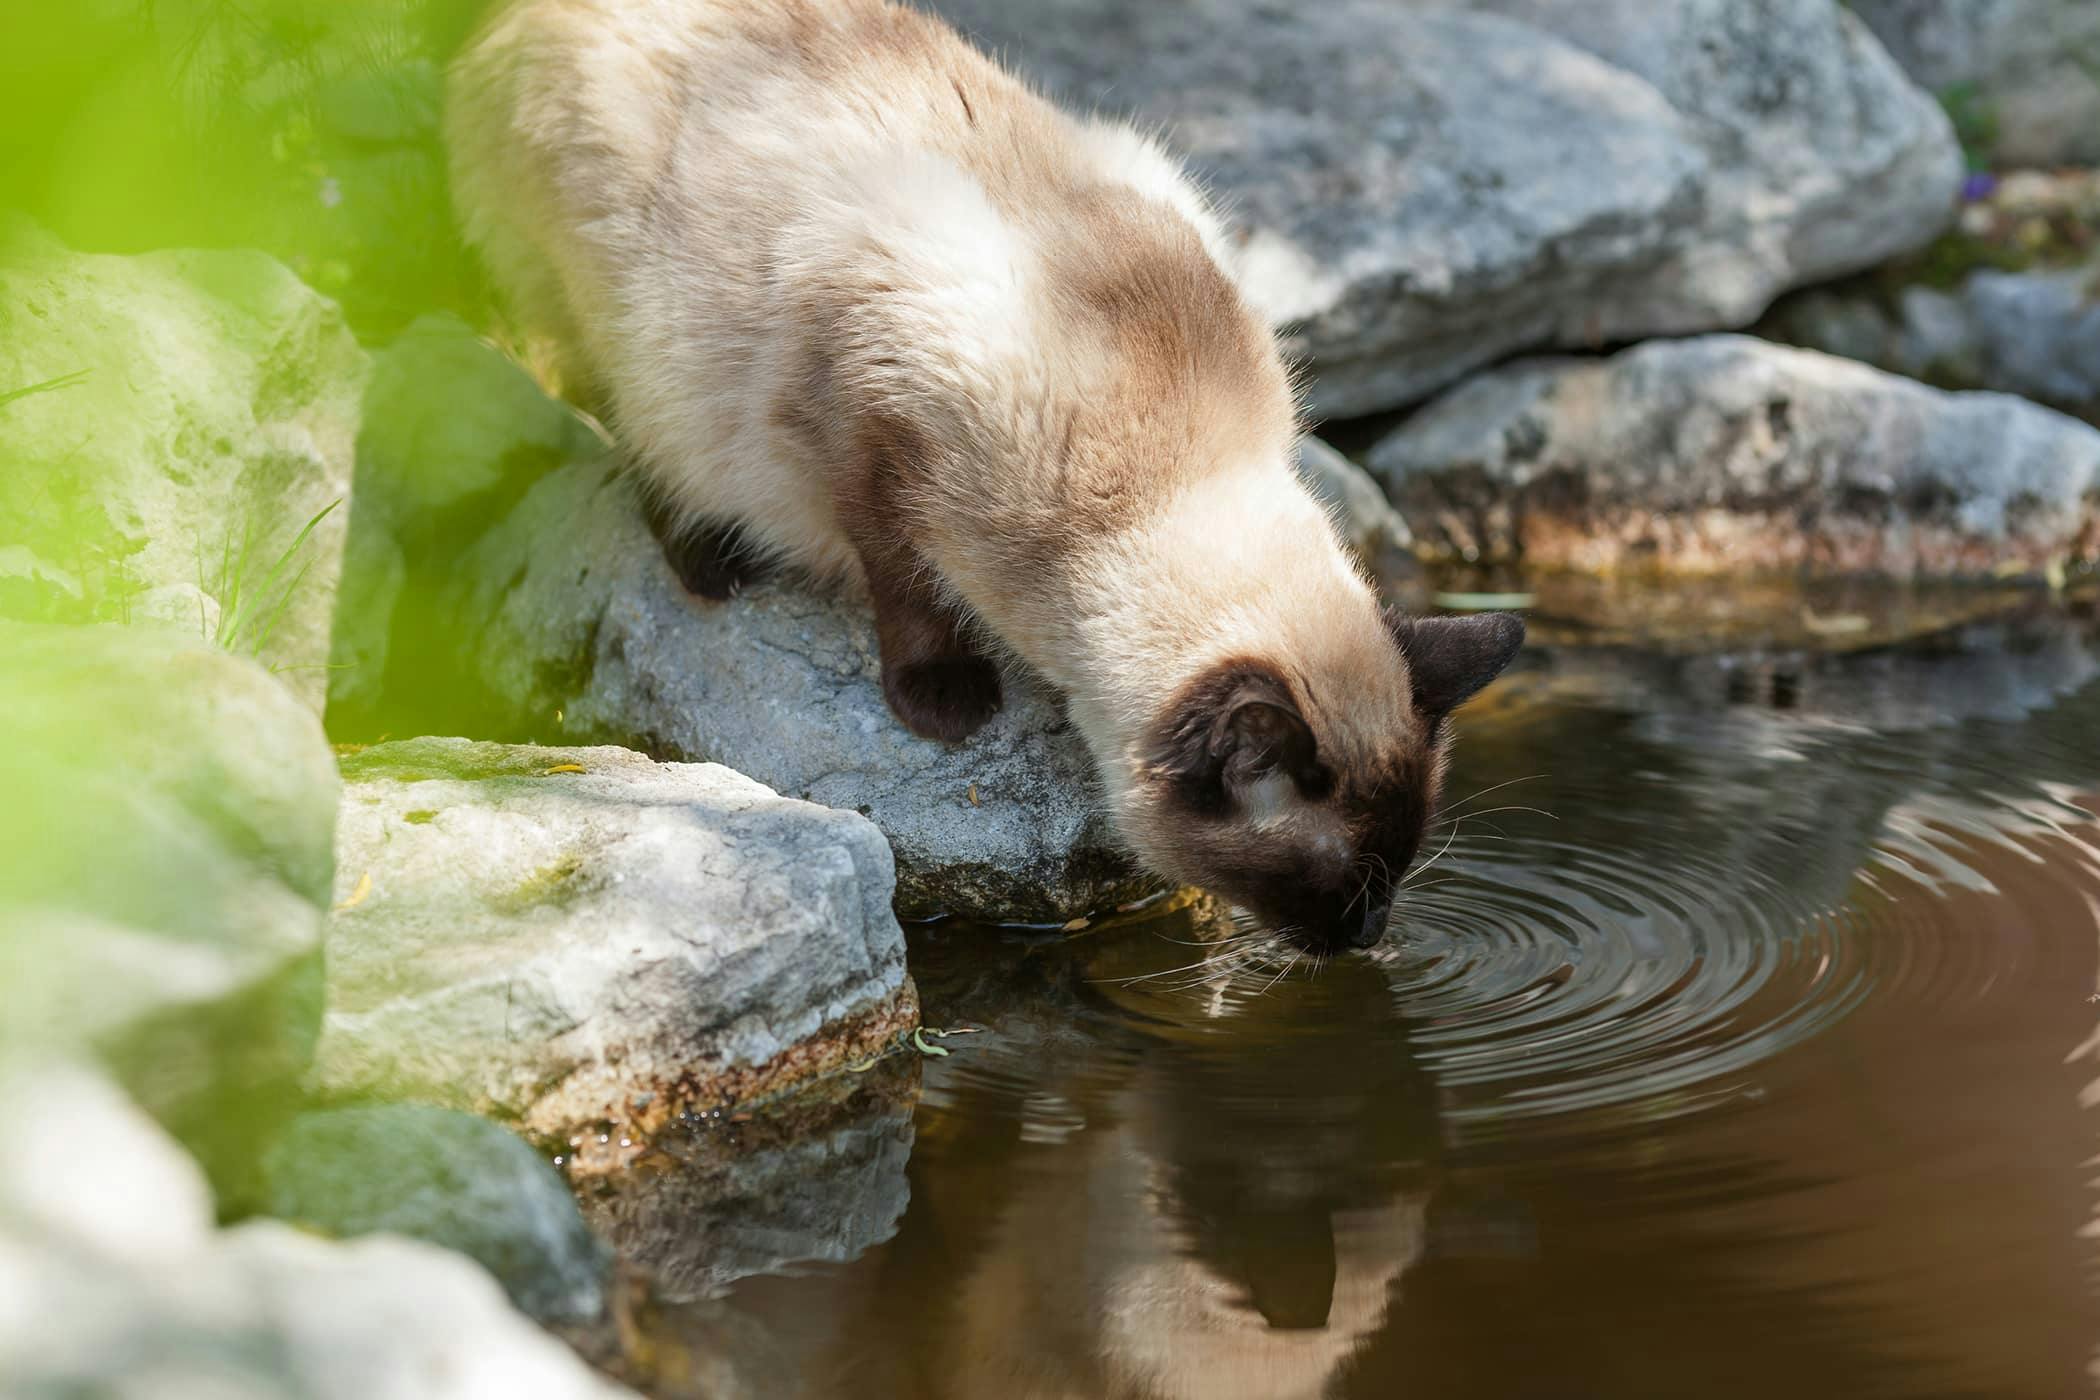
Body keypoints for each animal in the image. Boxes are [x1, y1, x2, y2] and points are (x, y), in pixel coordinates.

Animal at [451, 0, 1520, 952]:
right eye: (1333, 881)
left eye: (1398, 869)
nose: (1369, 939)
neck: (1169, 470)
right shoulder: (866, 417)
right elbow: (903, 576)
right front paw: (946, 703)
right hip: (617, 320)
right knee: (625, 419)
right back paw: (710, 561)